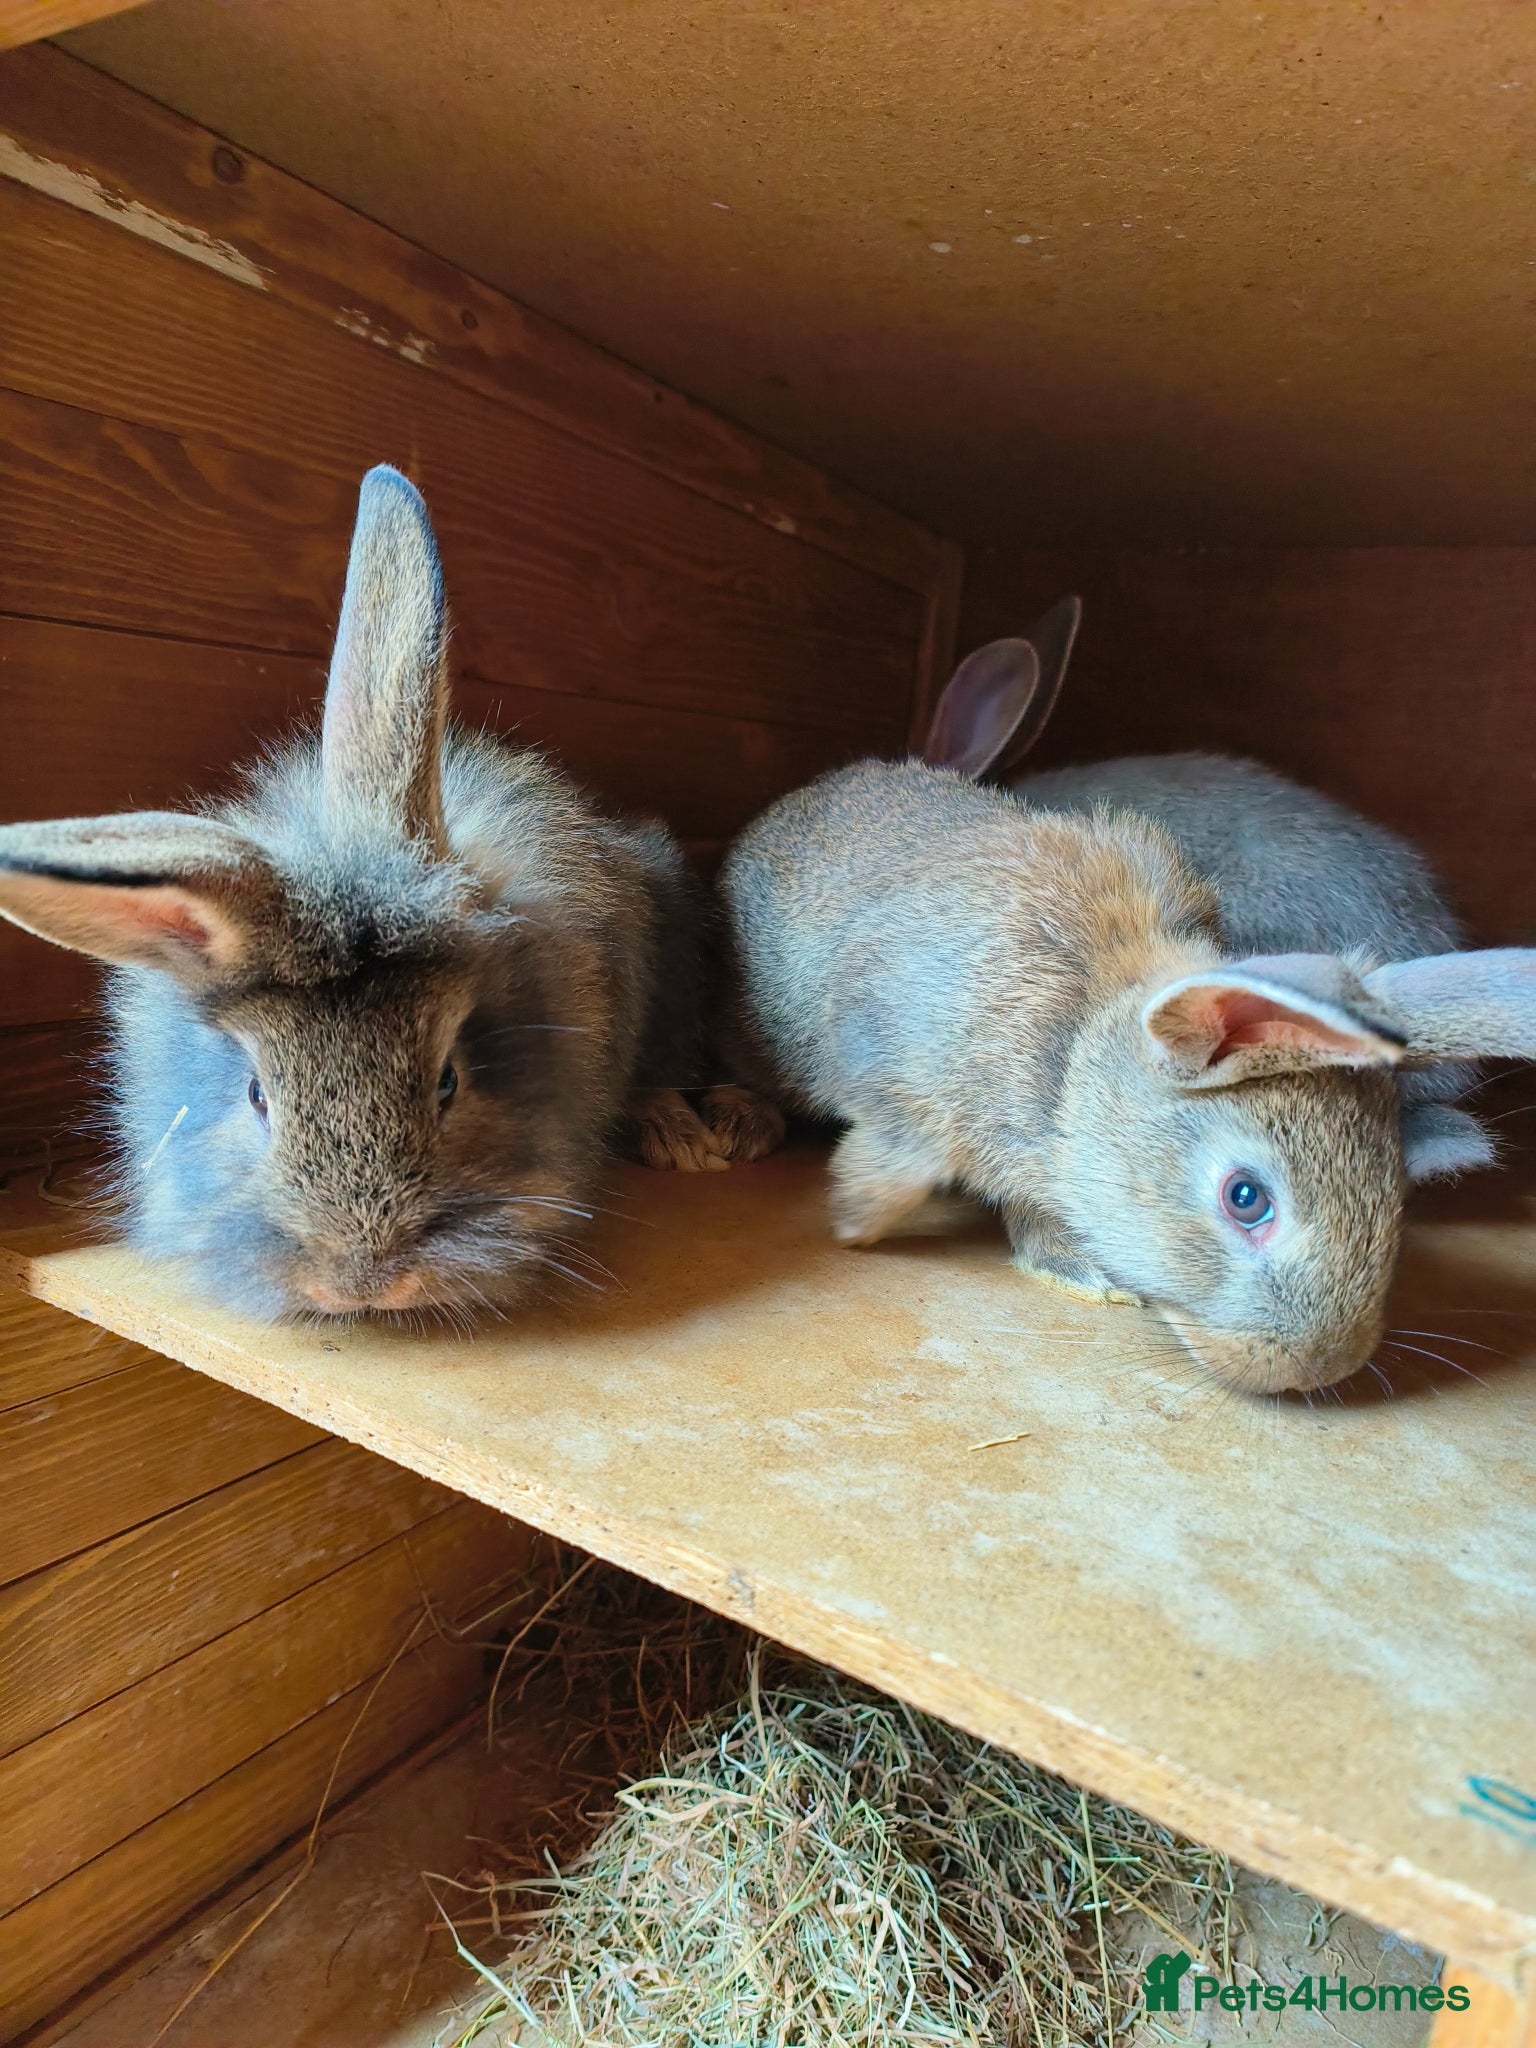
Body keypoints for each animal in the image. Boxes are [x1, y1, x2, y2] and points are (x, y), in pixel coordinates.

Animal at [718, 757, 1536, 1393]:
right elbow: (899, 1161)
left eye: (1394, 1182)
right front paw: (854, 1225)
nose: (1321, 1368)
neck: (1078, 1055)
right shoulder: (909, 1093)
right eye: (1246, 1198)